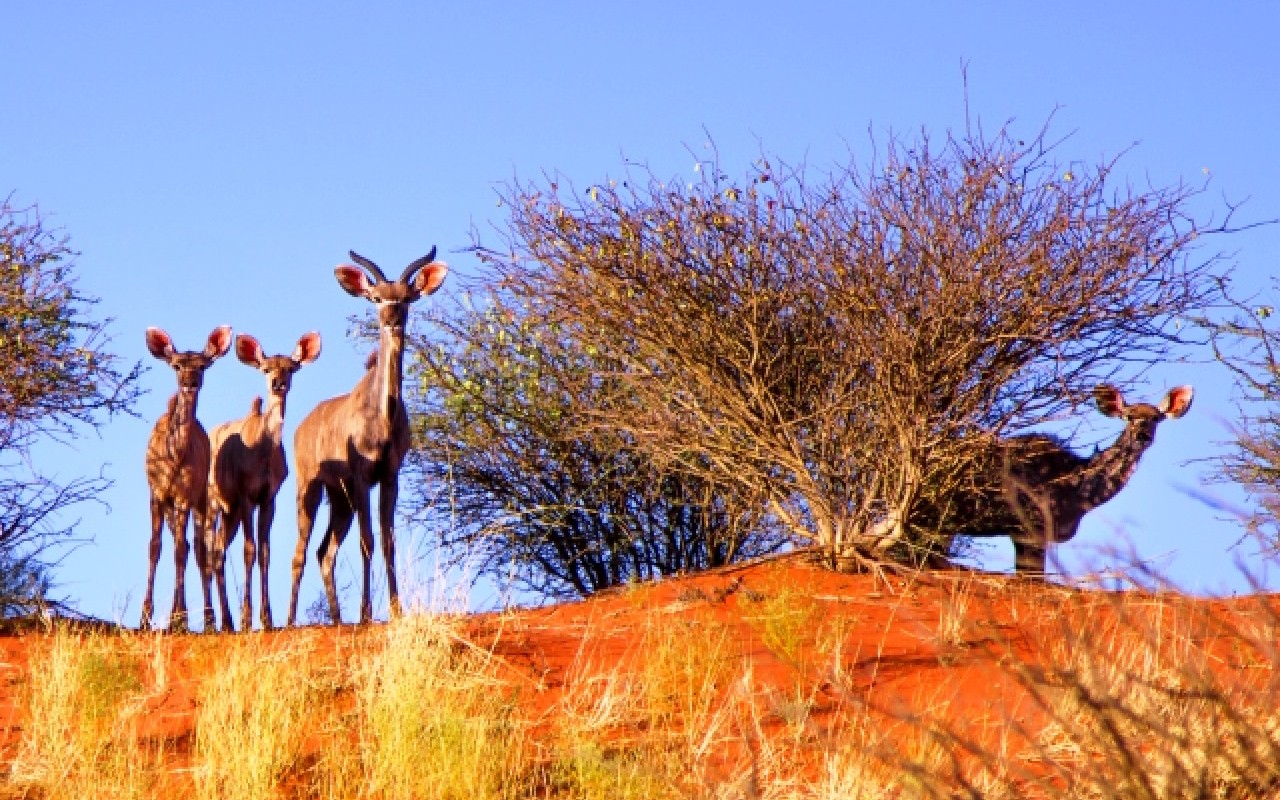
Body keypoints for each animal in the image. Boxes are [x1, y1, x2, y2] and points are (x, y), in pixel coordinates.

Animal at [144, 325, 234, 629]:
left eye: (203, 365)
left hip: (202, 501)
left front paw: (177, 618)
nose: (190, 382)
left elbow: (181, 552)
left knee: (199, 550)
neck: (174, 456)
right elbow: (155, 547)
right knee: (185, 545)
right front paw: (145, 617)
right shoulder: (157, 495)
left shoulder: (183, 496)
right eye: (176, 365)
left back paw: (209, 619)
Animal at [207, 330, 322, 629]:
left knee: (218, 551)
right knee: (208, 550)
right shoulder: (246, 494)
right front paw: (248, 619)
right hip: (212, 502)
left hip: (230, 513)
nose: (277, 383)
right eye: (266, 368)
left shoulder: (269, 497)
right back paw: (221, 620)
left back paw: (226, 621)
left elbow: (265, 553)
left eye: (290, 368)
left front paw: (267, 618)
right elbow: (250, 550)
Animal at [288, 248, 448, 624]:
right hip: (310, 489)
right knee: (300, 552)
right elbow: (368, 540)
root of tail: (301, 427)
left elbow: (388, 540)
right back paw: (285, 621)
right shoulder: (361, 477)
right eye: (376, 298)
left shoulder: (389, 476)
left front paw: (396, 609)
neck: (382, 418)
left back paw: (336, 620)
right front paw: (365, 613)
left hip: (339, 499)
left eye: (407, 298)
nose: (392, 318)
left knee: (324, 552)